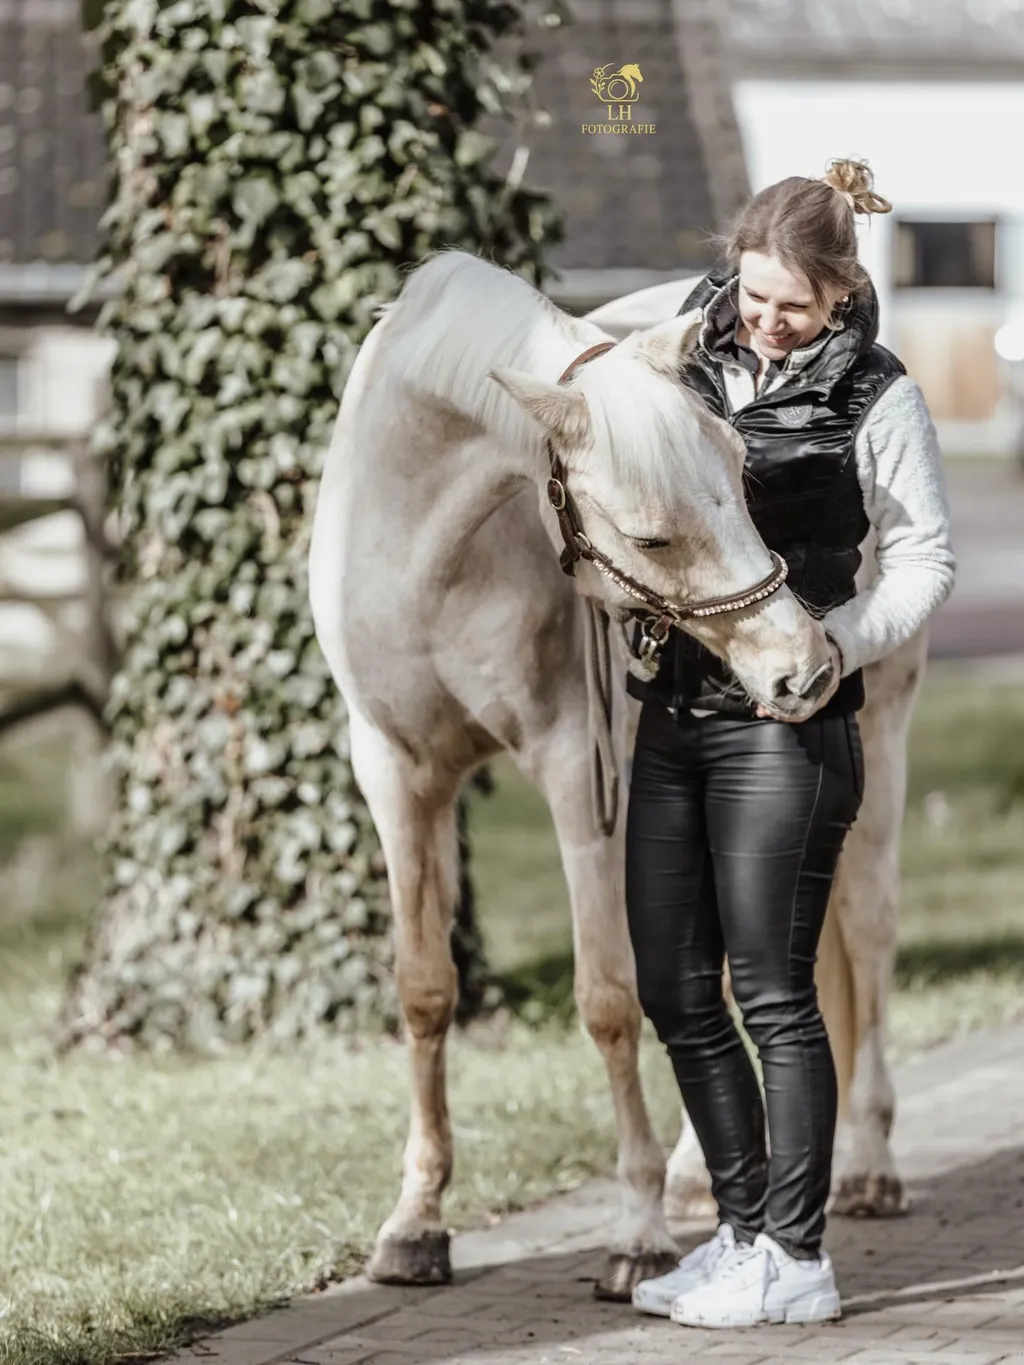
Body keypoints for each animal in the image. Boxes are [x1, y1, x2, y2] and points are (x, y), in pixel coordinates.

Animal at [308, 249, 913, 1301]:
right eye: (652, 535)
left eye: (743, 477)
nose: (802, 667)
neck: (430, 548)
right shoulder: (396, 770)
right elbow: (424, 990)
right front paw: (416, 1223)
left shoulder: (578, 777)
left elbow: (607, 1000)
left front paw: (633, 1231)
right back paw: (697, 1178)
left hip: (877, 747)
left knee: (869, 936)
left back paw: (865, 1166)